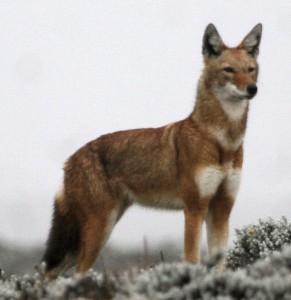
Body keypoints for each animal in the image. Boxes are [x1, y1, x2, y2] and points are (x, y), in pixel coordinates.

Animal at [42, 23, 262, 278]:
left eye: (251, 70)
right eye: (229, 70)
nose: (253, 88)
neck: (222, 142)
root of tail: (70, 160)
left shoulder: (221, 210)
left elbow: (220, 266)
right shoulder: (194, 209)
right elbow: (192, 259)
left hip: (93, 232)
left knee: (48, 273)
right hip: (98, 230)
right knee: (70, 273)